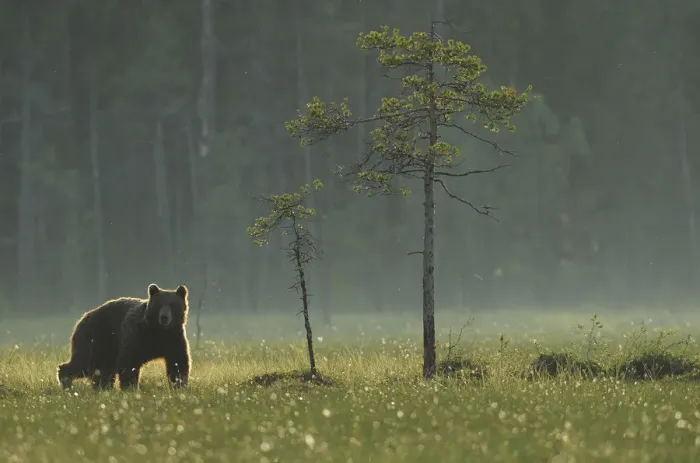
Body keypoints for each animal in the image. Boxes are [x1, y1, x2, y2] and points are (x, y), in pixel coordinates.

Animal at [57, 283, 191, 391]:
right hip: (94, 338)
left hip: (107, 347)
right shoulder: (137, 335)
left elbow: (178, 362)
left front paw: (178, 385)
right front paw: (130, 388)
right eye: (159, 304)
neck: (158, 331)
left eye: (172, 304)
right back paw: (66, 382)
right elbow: (129, 362)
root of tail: (83, 317)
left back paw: (102, 388)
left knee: (102, 371)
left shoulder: (173, 338)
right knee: (83, 362)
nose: (164, 317)